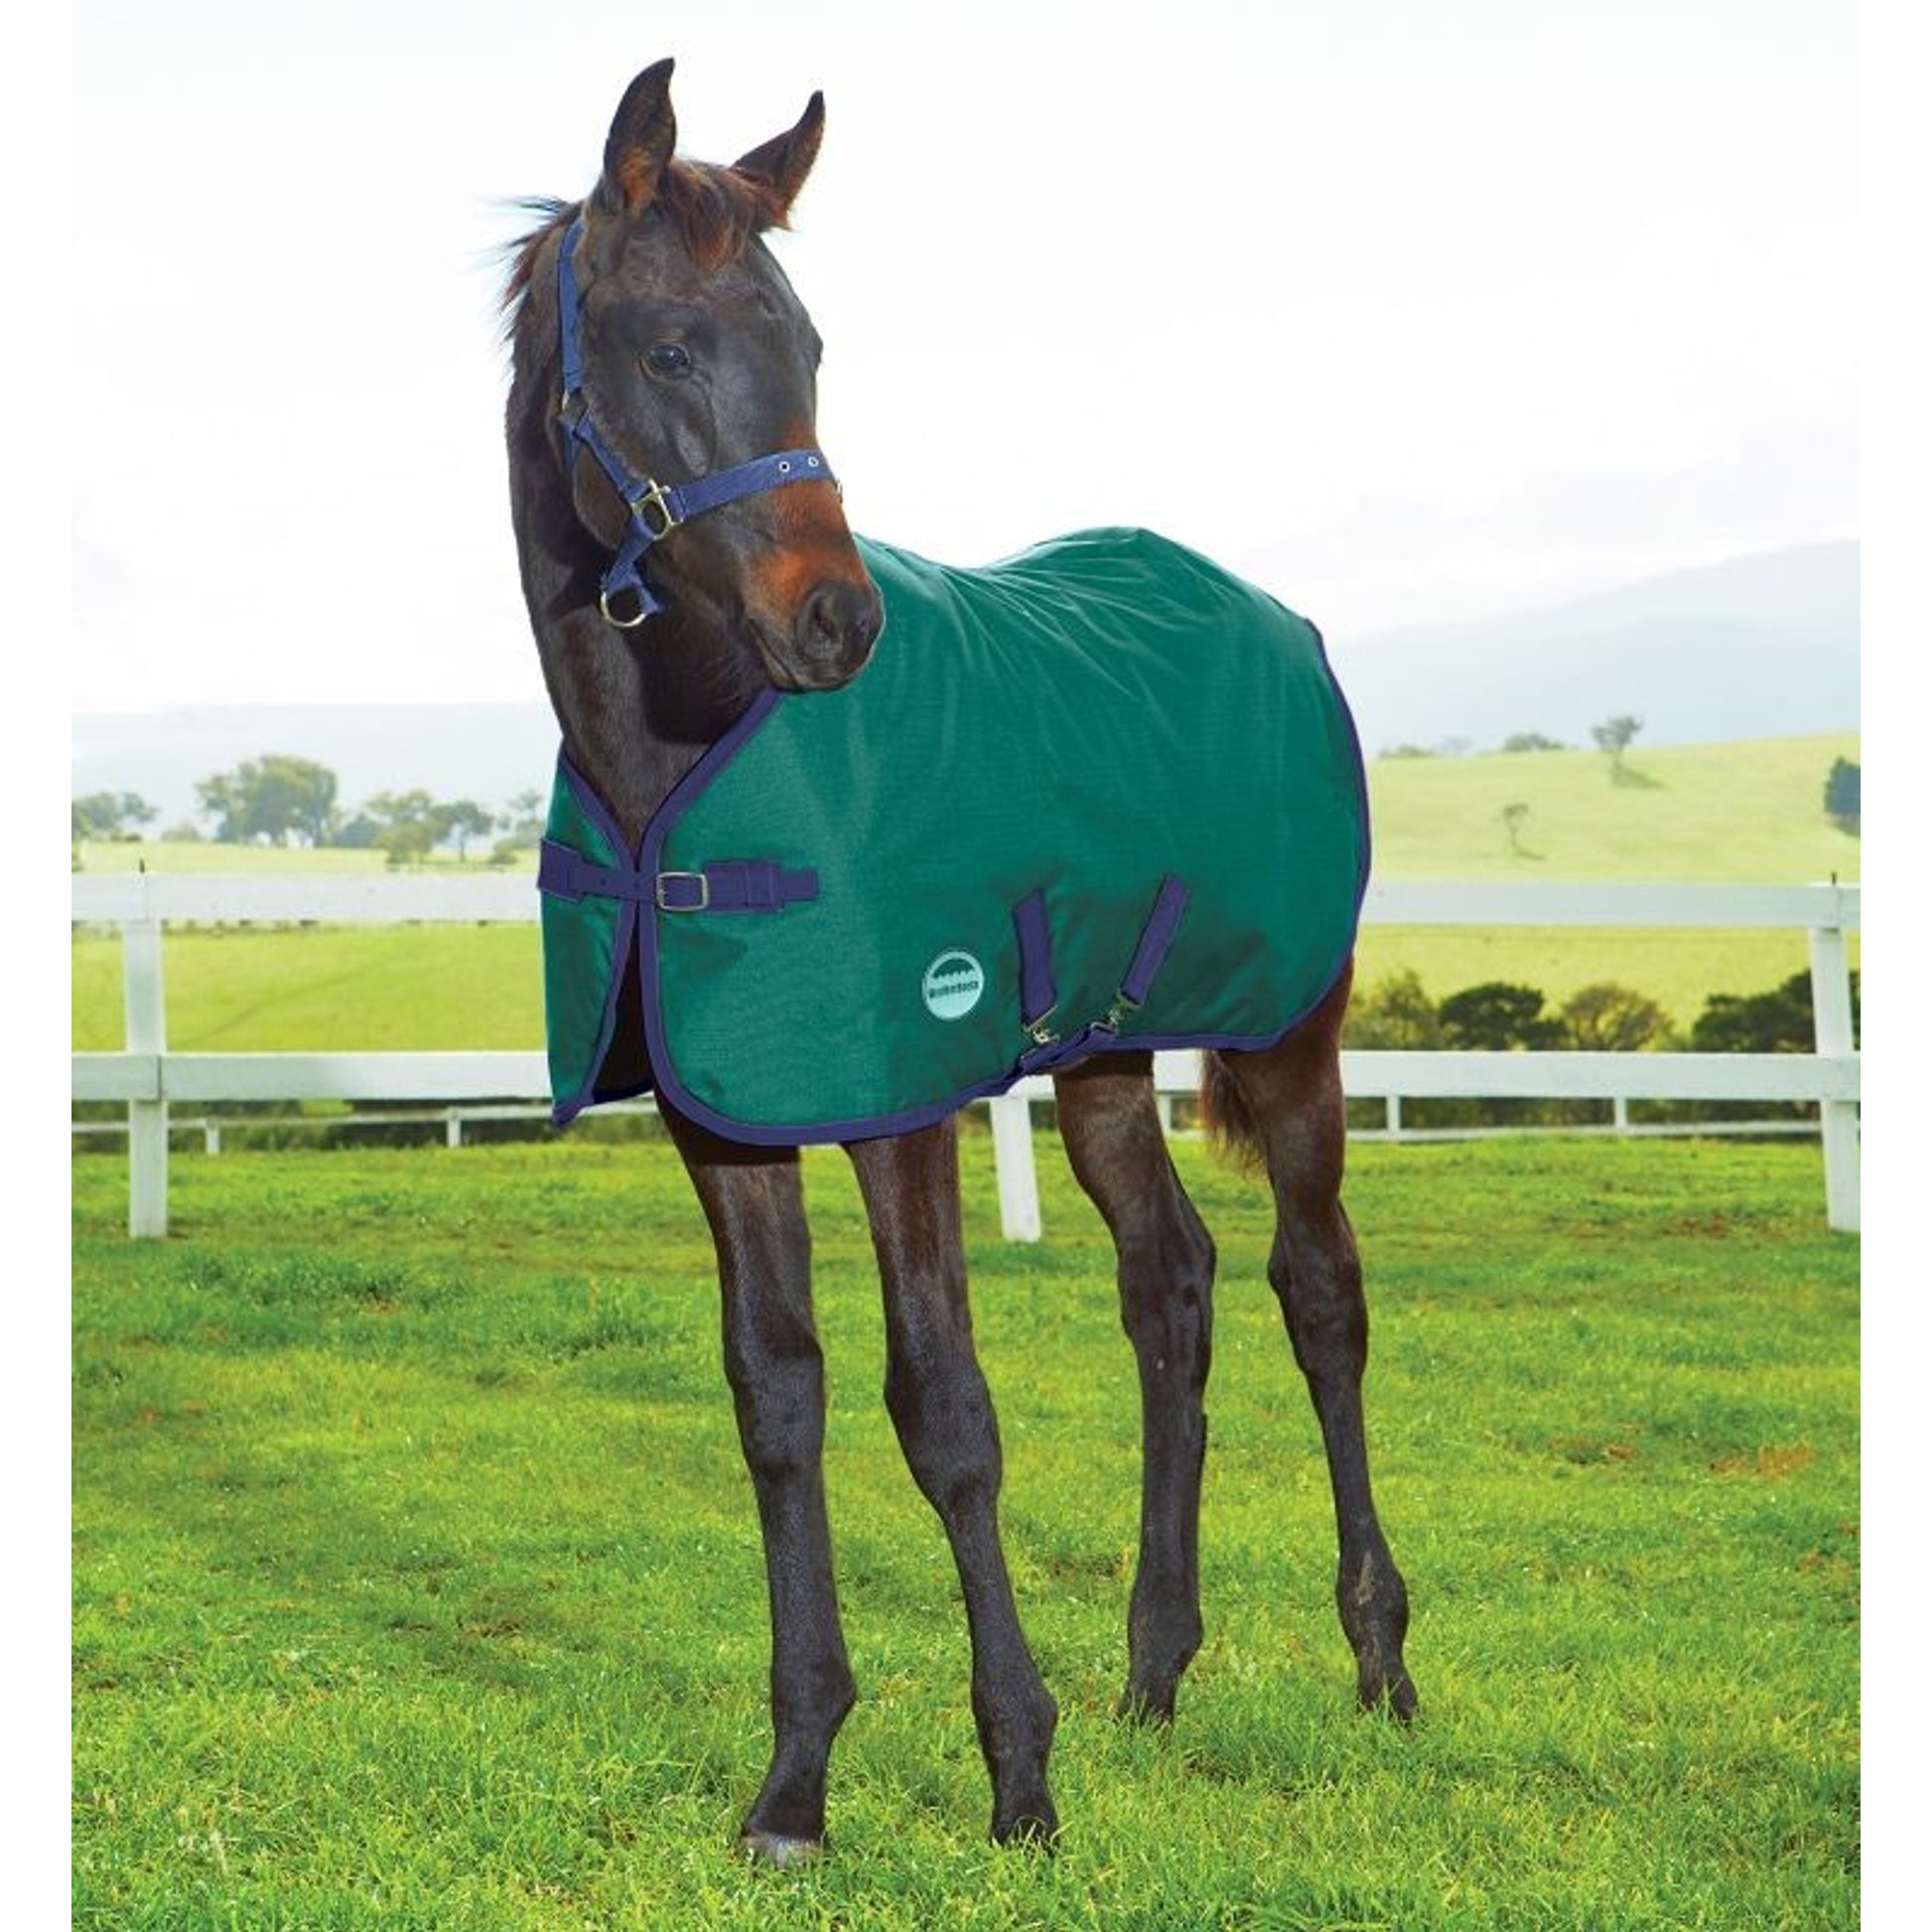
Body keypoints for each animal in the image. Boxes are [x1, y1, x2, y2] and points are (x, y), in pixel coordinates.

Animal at [498, 57, 1415, 1861]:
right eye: (669, 349)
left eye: (809, 344)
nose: (837, 624)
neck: (685, 758)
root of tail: (1275, 618)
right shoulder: (727, 1122)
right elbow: (777, 1402)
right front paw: (794, 1786)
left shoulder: (899, 1102)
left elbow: (944, 1411)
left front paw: (1017, 1776)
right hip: (1110, 1051)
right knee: (1170, 1284)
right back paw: (1154, 1672)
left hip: (1289, 1032)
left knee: (1317, 1288)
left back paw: (1379, 1660)